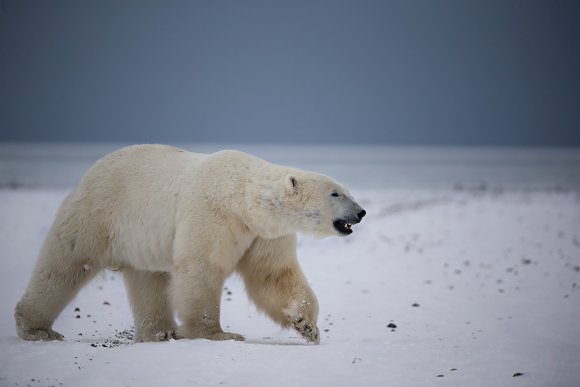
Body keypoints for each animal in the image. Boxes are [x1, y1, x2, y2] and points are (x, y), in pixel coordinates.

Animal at [14, 146, 362, 346]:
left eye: (346, 190)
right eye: (336, 193)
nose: (361, 212)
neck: (244, 198)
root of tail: (91, 170)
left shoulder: (263, 233)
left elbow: (273, 276)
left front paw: (307, 326)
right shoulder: (213, 211)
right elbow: (202, 265)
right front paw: (218, 334)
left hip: (140, 238)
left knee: (148, 279)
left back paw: (159, 333)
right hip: (99, 213)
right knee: (65, 265)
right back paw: (37, 329)